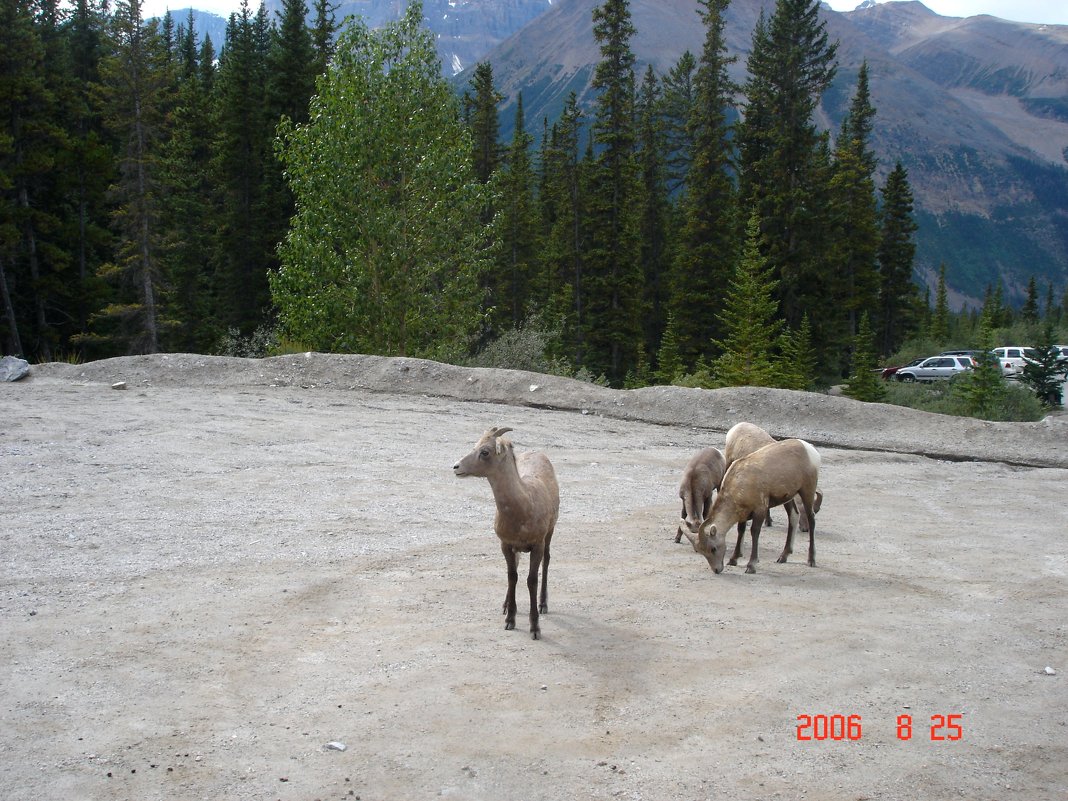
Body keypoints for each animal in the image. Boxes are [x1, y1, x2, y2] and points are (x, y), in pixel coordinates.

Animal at [450, 429, 559, 645]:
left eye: (485, 451)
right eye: (475, 446)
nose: (456, 467)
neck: (523, 508)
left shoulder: (537, 544)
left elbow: (531, 580)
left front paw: (535, 629)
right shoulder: (506, 544)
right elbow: (512, 576)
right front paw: (509, 619)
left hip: (550, 533)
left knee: (547, 561)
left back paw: (543, 605)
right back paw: (505, 605)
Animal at [679, 440, 820, 576]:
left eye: (713, 548)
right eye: (701, 551)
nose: (717, 570)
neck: (740, 482)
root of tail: (809, 449)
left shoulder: (760, 509)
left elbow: (754, 532)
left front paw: (751, 566)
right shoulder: (743, 513)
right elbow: (741, 530)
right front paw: (733, 559)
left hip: (807, 490)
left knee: (811, 519)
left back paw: (811, 560)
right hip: (789, 498)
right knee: (794, 516)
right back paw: (783, 557)